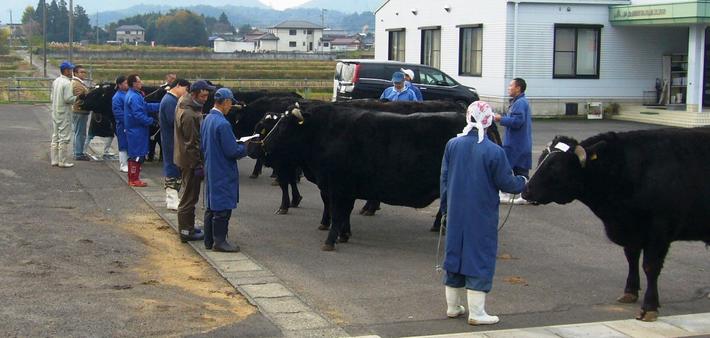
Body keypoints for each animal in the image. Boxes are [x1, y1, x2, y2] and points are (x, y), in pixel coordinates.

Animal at [262, 101, 484, 251]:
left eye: (284, 127)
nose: (265, 145)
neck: (323, 132)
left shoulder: (338, 188)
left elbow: (337, 213)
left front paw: (330, 240)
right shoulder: (345, 189)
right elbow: (343, 213)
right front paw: (344, 234)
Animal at [524, 129, 710, 322]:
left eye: (556, 166)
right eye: (541, 160)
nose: (526, 190)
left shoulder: (659, 231)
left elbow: (650, 266)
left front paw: (649, 307)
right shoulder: (631, 230)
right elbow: (631, 258)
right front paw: (630, 292)